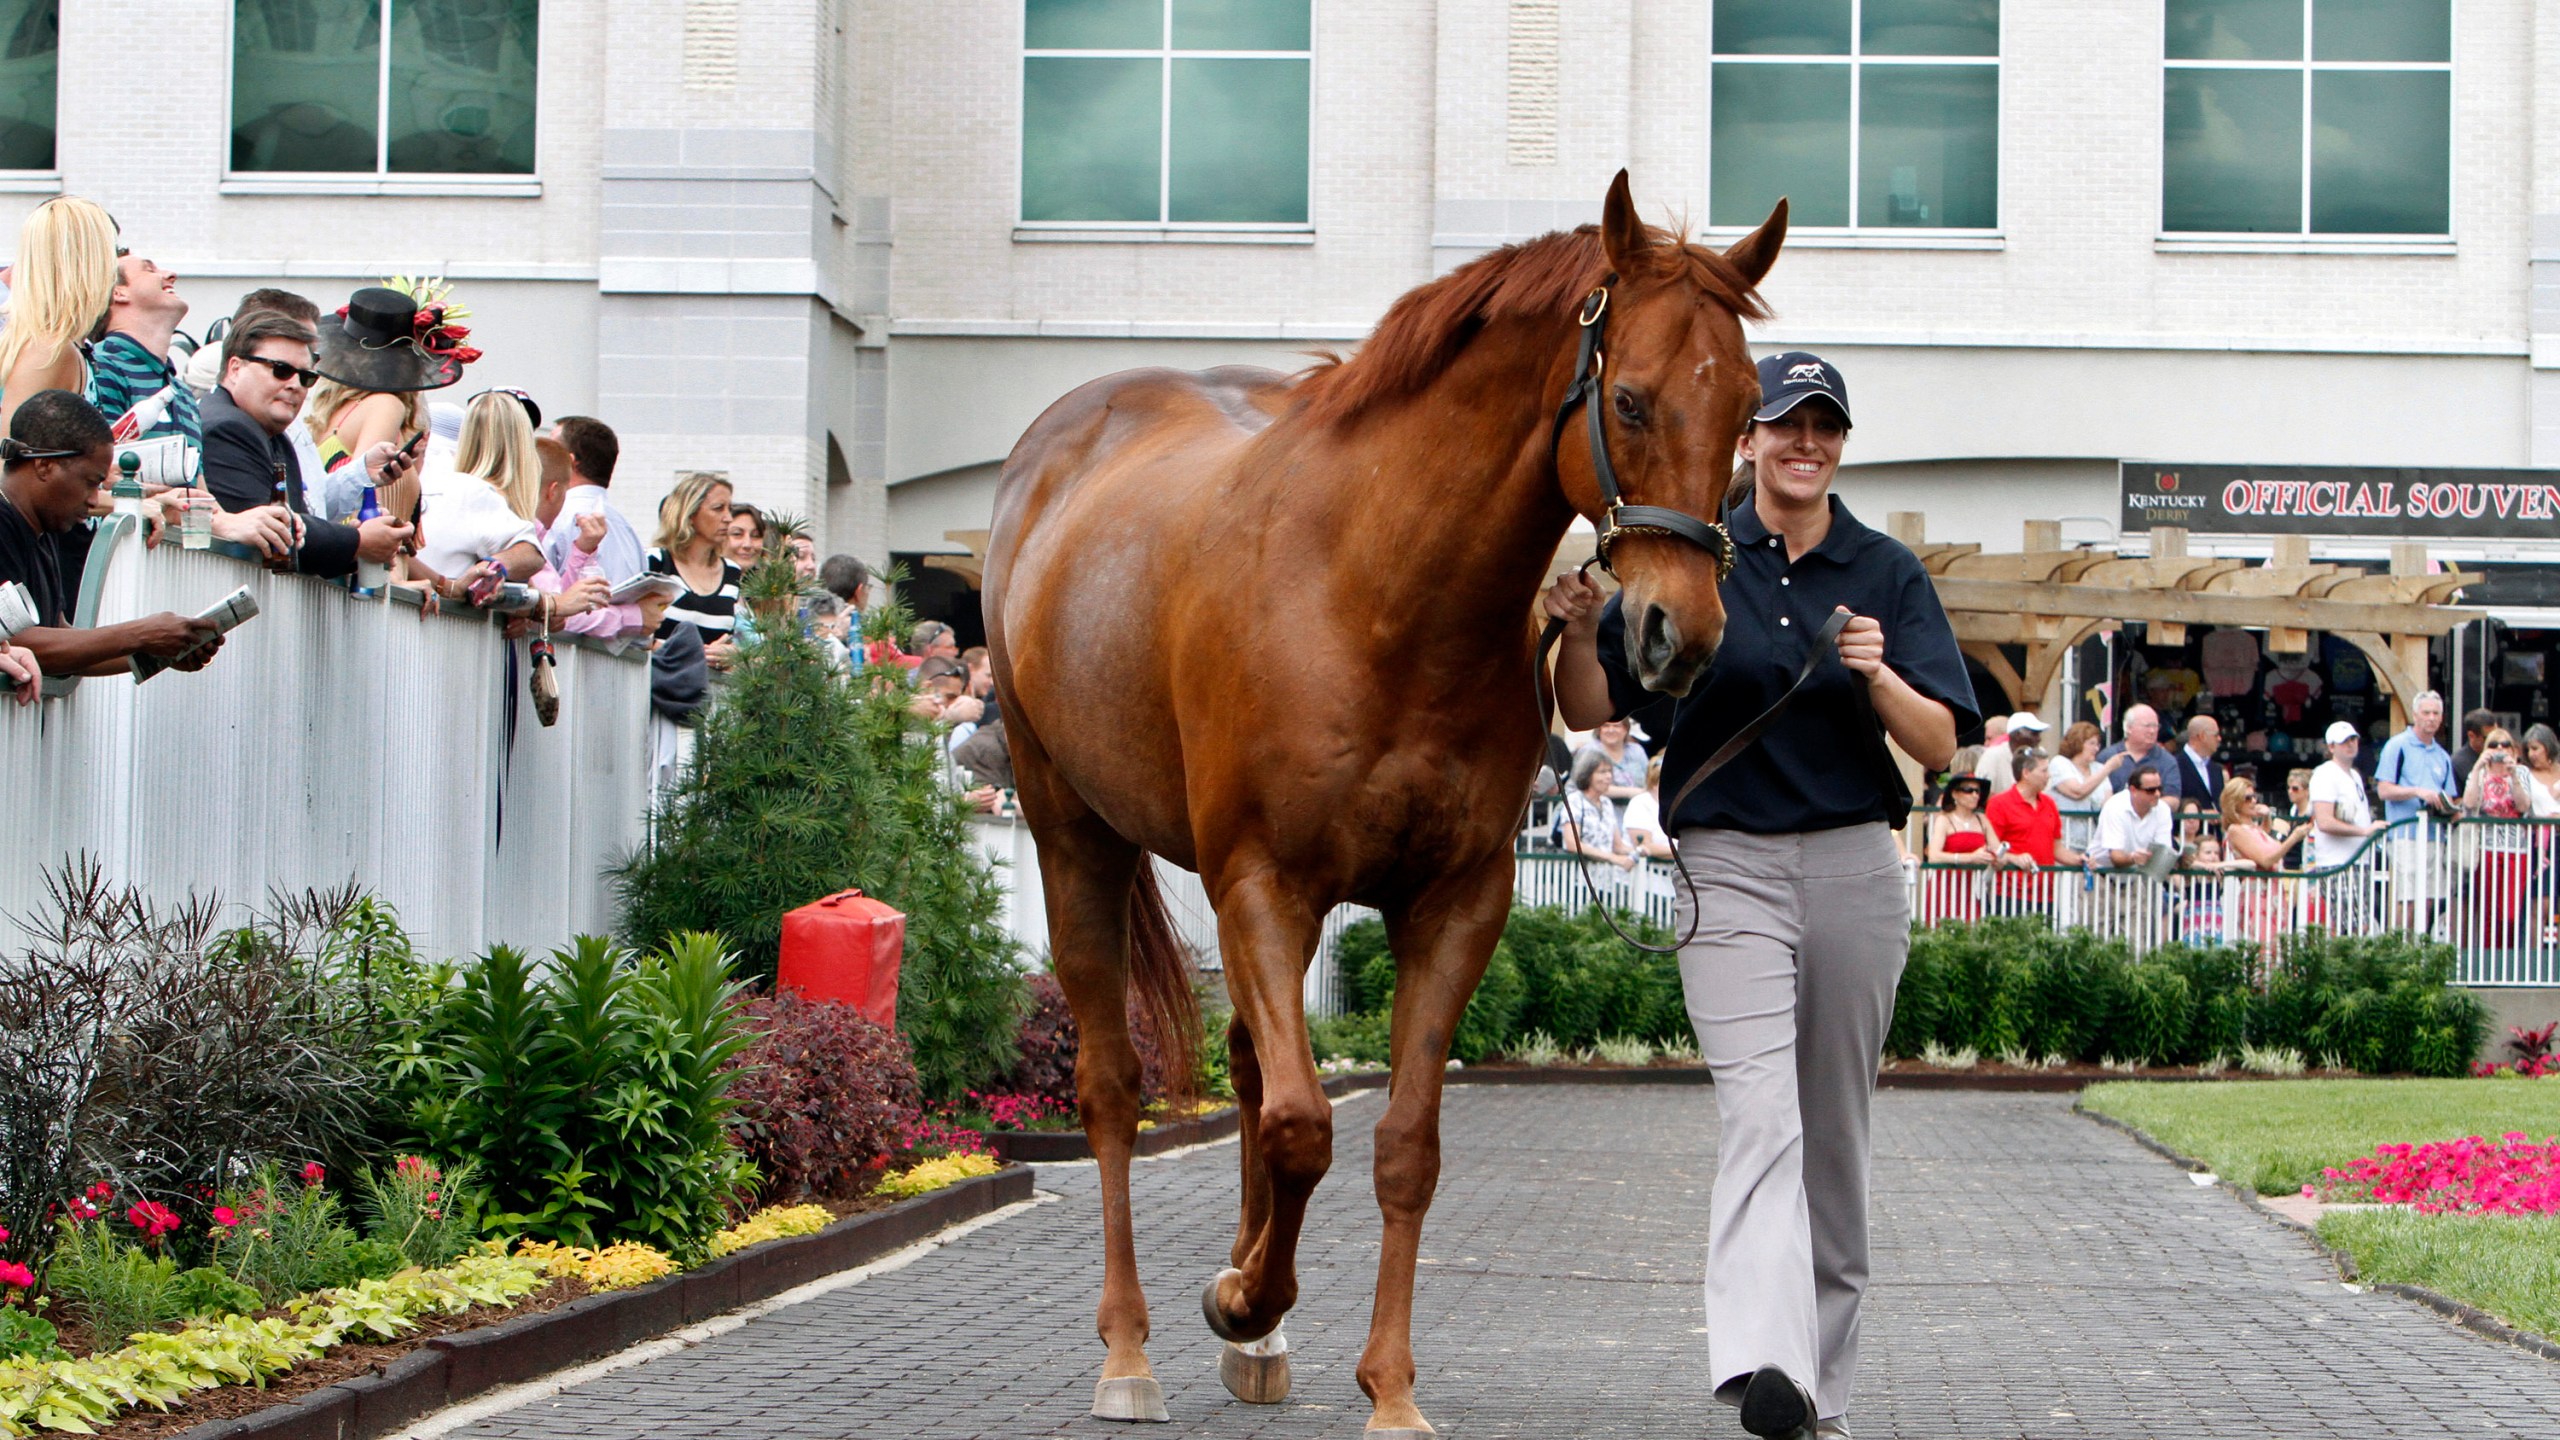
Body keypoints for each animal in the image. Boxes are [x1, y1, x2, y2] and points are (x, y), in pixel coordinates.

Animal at [988, 174, 1792, 1424]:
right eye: (1630, 399)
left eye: (1749, 407)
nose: (1679, 637)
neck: (1375, 595)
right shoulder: (1263, 884)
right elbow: (1303, 1128)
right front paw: (1243, 1299)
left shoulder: (1452, 901)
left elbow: (1401, 1143)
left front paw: (1382, 1386)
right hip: (1075, 828)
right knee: (1115, 1084)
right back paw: (1130, 1351)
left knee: (1246, 1062)